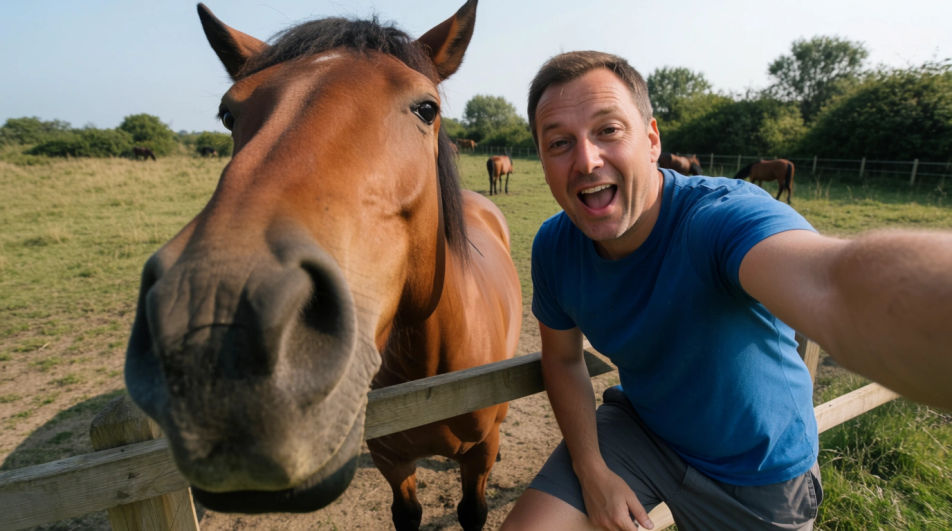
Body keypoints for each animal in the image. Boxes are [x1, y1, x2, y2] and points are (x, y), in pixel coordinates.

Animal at [123, 2, 521, 530]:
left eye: (426, 108)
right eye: (228, 114)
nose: (217, 334)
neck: (432, 375)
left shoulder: (480, 454)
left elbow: (473, 511)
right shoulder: (392, 460)